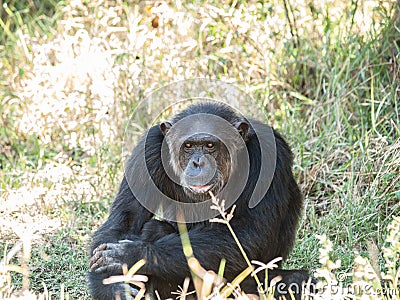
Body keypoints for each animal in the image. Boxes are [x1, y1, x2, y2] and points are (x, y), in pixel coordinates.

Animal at [87, 102, 312, 298]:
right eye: (188, 145)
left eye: (210, 145)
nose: (198, 162)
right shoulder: (148, 148)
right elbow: (124, 222)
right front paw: (115, 288)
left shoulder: (269, 152)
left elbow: (250, 232)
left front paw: (132, 254)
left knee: (299, 280)